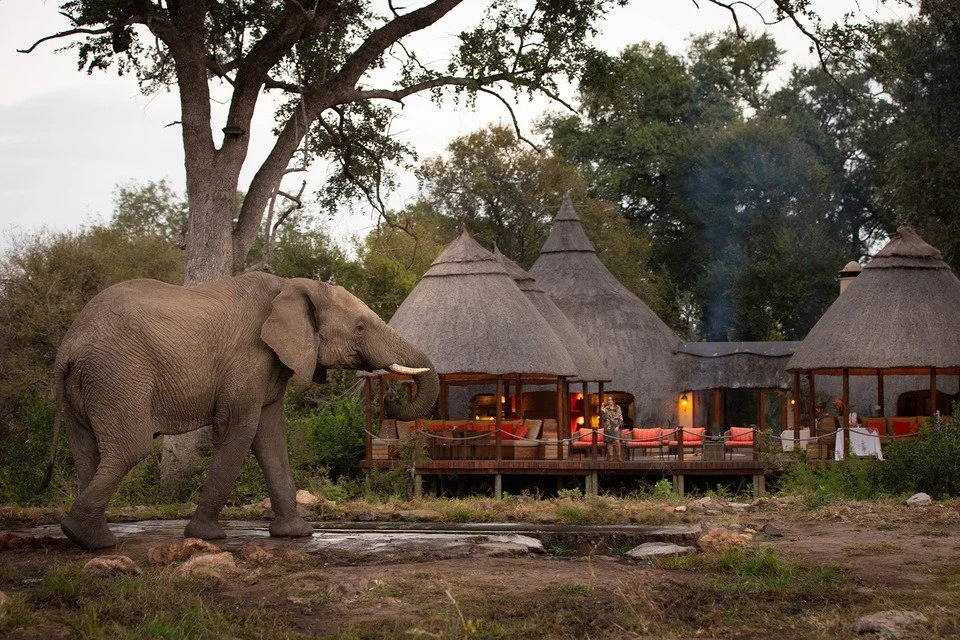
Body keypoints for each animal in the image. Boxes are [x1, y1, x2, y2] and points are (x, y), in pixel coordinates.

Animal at [43, 271, 439, 550]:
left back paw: (89, 538)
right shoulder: (248, 359)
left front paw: (296, 535)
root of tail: (69, 346)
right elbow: (240, 432)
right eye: (359, 327)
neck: (292, 285)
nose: (389, 400)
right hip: (118, 374)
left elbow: (270, 439)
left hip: (94, 382)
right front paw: (208, 537)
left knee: (88, 451)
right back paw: (88, 539)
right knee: (130, 448)